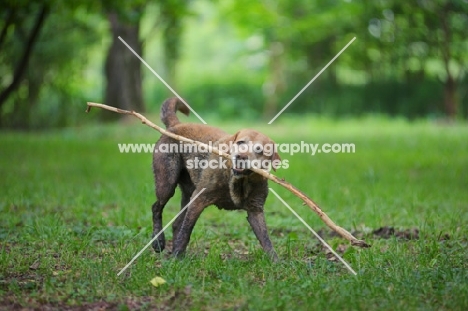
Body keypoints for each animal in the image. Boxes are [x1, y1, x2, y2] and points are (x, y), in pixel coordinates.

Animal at [152, 98, 280, 260]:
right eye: (240, 142)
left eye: (260, 150)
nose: (241, 156)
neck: (238, 181)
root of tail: (176, 125)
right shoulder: (198, 200)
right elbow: (186, 230)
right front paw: (175, 257)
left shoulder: (255, 210)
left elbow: (266, 240)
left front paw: (276, 262)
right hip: (167, 184)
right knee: (157, 208)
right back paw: (158, 242)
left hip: (188, 193)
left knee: (176, 223)